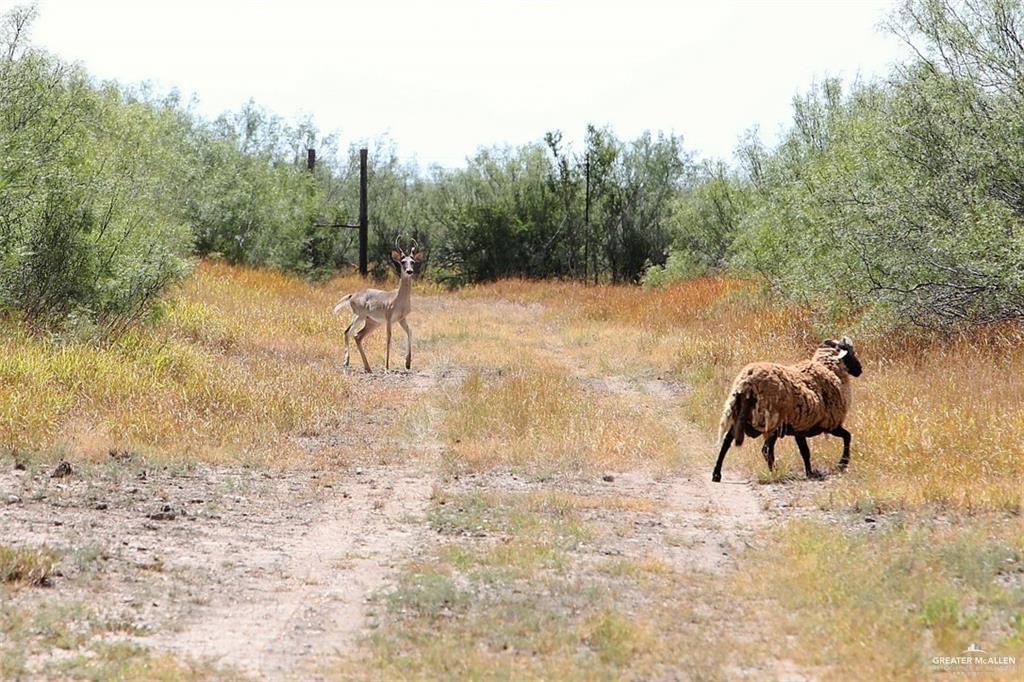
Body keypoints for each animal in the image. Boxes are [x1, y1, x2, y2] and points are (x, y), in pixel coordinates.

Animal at [331, 235, 419, 368]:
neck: (399, 299)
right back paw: (346, 362)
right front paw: (387, 367)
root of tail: (352, 296)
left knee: (358, 336)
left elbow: (410, 331)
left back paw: (368, 368)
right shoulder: (389, 319)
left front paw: (408, 363)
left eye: (412, 262)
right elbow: (388, 338)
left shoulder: (401, 319)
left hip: (372, 322)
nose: (409, 271)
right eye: (403, 261)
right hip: (359, 316)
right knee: (347, 331)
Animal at [712, 337, 864, 481]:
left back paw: (716, 474)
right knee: (766, 450)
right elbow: (847, 436)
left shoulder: (801, 428)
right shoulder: (828, 424)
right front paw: (842, 464)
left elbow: (805, 451)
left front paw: (810, 472)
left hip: (740, 416)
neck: (828, 369)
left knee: (726, 442)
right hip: (772, 421)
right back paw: (775, 471)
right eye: (850, 352)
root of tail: (747, 383)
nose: (860, 369)